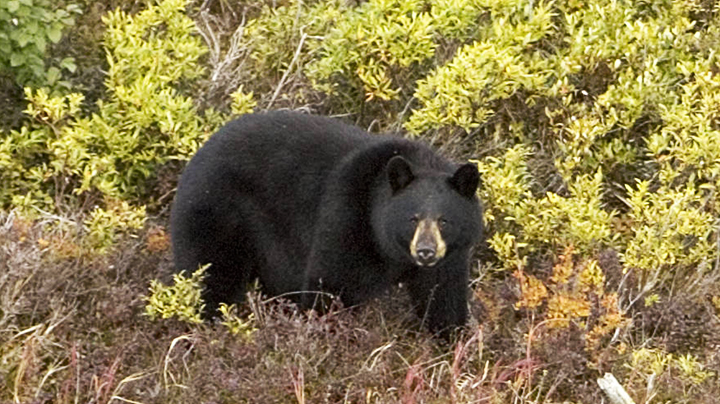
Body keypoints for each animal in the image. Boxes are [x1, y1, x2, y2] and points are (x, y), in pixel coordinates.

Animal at [170, 110, 484, 334]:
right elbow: (331, 283)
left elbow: (443, 299)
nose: (425, 251)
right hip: (217, 213)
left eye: (444, 220)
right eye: (412, 218)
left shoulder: (450, 257)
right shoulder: (347, 216)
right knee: (212, 275)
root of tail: (197, 156)